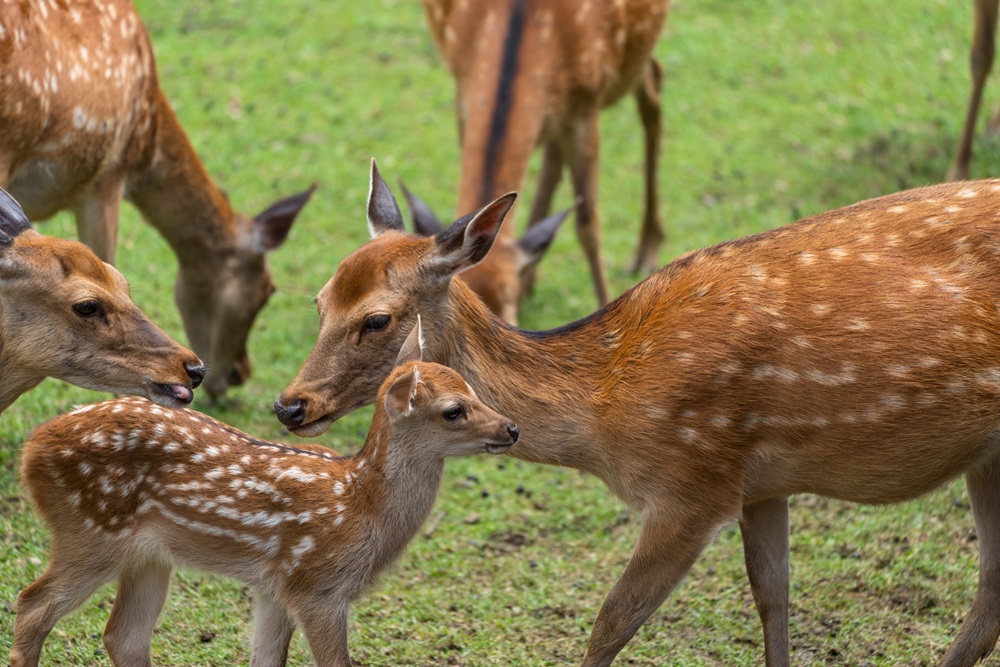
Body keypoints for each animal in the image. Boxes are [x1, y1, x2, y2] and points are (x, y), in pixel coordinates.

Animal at [9, 320, 524, 664]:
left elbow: (266, 657)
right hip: (90, 529)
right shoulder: (316, 585)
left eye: (473, 389)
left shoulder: (275, 586)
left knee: (123, 635)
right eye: (453, 410)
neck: (363, 505)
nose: (512, 428)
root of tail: (33, 446)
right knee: (32, 606)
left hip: (149, 555)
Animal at [276, 159, 1000, 664]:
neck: (605, 414)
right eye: (319, 300)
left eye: (377, 319)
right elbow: (772, 598)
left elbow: (611, 621)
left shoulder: (694, 484)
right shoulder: (760, 484)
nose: (290, 404)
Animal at [414, 0, 672, 324]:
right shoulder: (463, 91)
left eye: (505, 311)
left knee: (653, 87)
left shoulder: (585, 109)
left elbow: (588, 225)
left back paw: (646, 249)